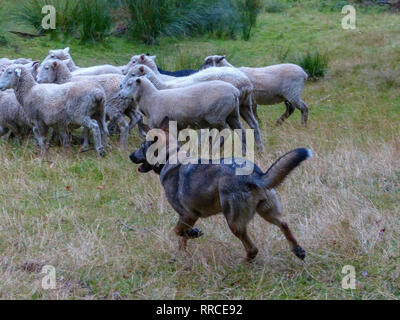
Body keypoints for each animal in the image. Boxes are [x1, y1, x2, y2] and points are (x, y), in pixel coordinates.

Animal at [123, 64, 264, 152]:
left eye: (133, 74)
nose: (120, 86)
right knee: (253, 125)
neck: (161, 87)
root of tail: (245, 81)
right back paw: (258, 148)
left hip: (222, 114)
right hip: (244, 106)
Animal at [131, 119, 312, 262]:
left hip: (233, 223)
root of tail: (254, 175)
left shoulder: (188, 215)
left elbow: (177, 231)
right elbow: (181, 238)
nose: (130, 156)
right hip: (267, 211)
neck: (170, 155)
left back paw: (242, 263)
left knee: (253, 249)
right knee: (284, 224)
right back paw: (298, 250)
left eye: (141, 146)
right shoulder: (187, 217)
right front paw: (183, 254)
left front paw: (193, 235)